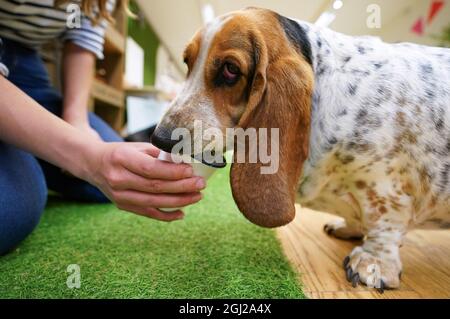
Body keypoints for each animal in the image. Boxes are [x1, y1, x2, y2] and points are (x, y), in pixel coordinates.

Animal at [152, 7, 450, 292]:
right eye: (187, 62)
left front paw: (373, 264)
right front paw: (350, 227)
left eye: (230, 69)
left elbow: (383, 223)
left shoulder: (385, 186)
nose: (160, 138)